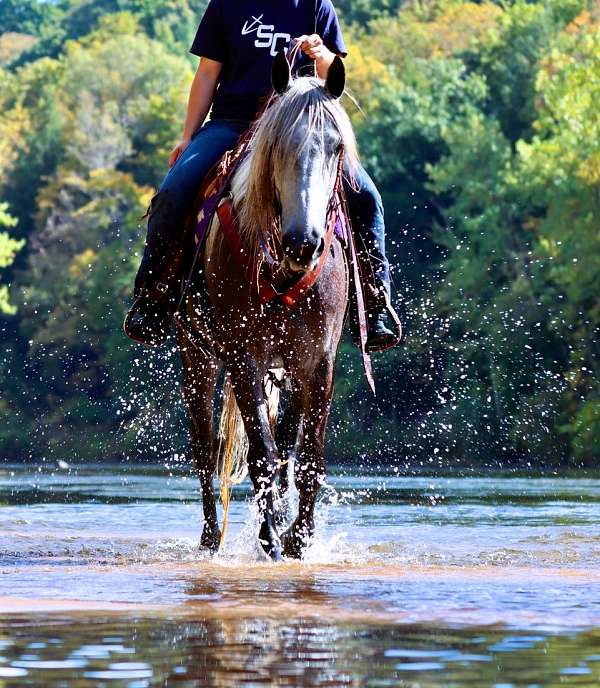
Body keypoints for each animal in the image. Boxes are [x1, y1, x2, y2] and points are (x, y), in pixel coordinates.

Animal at [177, 52, 356, 560]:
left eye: (337, 147)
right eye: (278, 145)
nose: (304, 243)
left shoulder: (318, 361)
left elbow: (307, 455)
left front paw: (298, 537)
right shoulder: (244, 357)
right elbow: (261, 452)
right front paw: (271, 539)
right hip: (196, 357)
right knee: (205, 447)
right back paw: (211, 539)